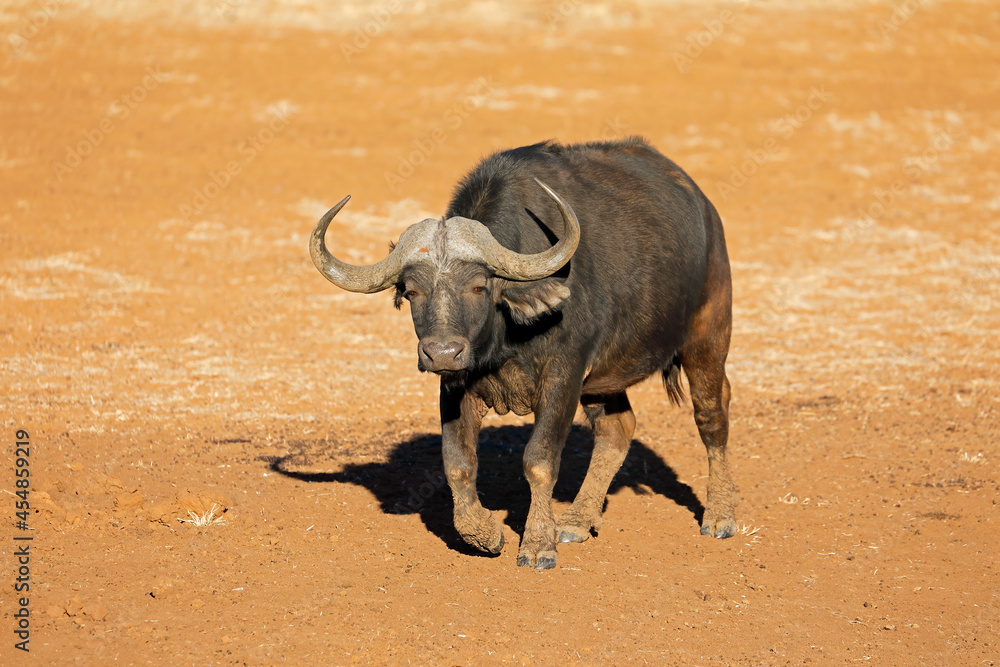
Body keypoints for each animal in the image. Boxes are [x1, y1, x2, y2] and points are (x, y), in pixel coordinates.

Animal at [309, 137, 737, 569]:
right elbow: (457, 463)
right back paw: (578, 521)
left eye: (479, 286)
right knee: (617, 429)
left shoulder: (564, 376)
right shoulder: (456, 385)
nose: (442, 352)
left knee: (712, 414)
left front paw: (537, 545)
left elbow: (539, 460)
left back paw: (720, 516)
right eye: (411, 291)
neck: (507, 339)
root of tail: (704, 208)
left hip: (708, 337)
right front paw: (485, 533)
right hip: (604, 381)